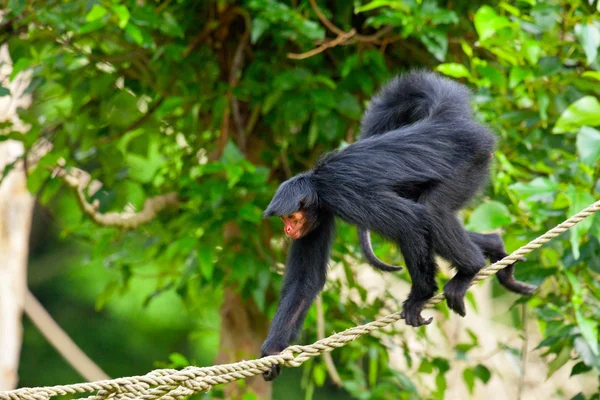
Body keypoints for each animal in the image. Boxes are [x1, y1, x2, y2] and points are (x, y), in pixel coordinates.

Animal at [262, 71, 536, 382]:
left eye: (290, 218)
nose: (287, 230)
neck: (318, 183)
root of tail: (441, 123)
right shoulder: (319, 216)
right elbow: (306, 281)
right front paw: (273, 352)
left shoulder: (341, 193)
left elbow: (411, 221)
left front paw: (420, 296)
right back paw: (495, 247)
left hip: (472, 162)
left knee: (431, 210)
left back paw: (470, 270)